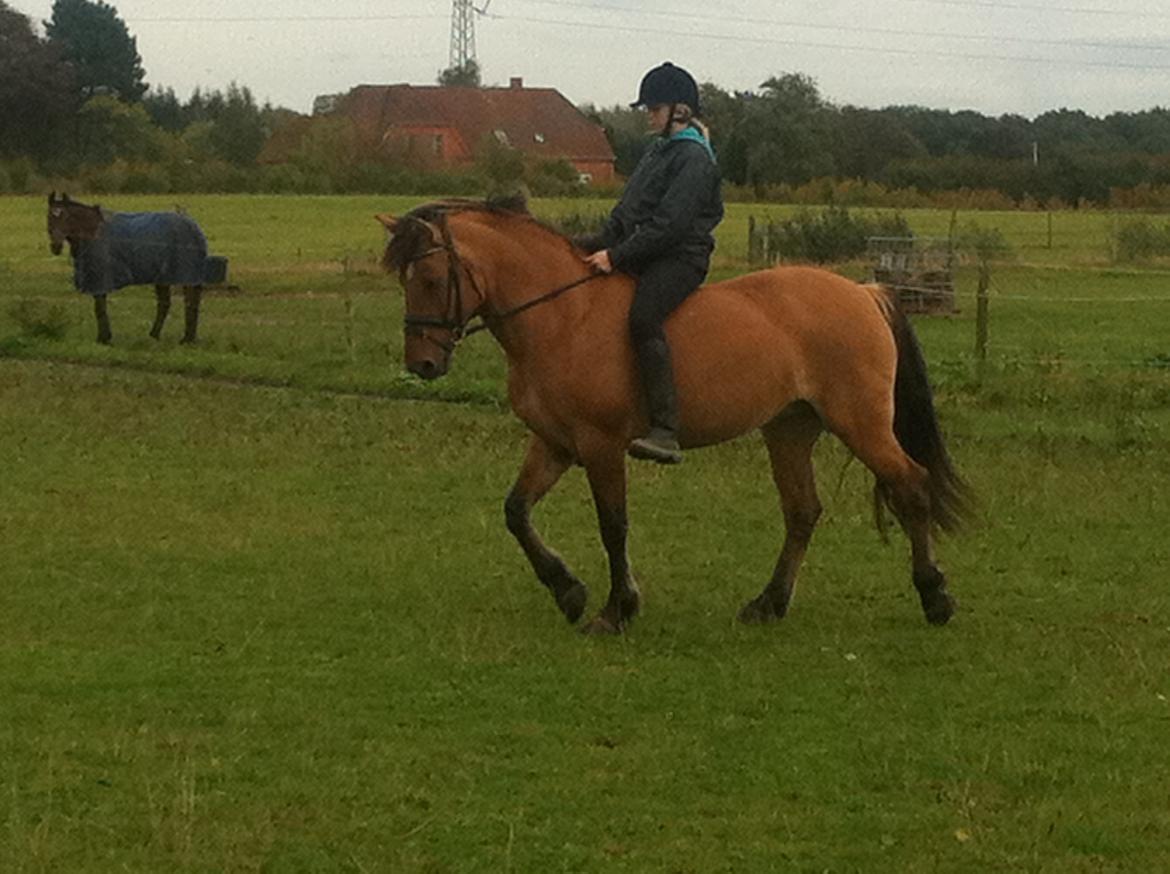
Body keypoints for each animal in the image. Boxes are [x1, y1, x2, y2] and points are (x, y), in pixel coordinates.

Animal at [47, 191, 217, 346]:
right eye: (49, 217)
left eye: (66, 216)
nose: (56, 246)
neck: (93, 232)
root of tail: (194, 228)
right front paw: (104, 337)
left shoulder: (100, 278)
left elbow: (100, 308)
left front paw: (103, 339)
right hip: (164, 277)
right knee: (166, 304)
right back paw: (158, 336)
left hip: (185, 274)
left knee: (189, 302)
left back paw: (186, 339)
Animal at [379, 197, 973, 636]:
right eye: (405, 279)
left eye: (430, 277)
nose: (422, 364)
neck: (563, 317)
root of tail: (862, 292)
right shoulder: (554, 442)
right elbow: (516, 512)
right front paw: (568, 590)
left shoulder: (599, 444)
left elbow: (613, 525)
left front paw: (615, 611)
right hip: (789, 429)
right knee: (803, 511)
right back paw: (768, 604)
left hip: (860, 422)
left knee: (911, 487)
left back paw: (935, 597)